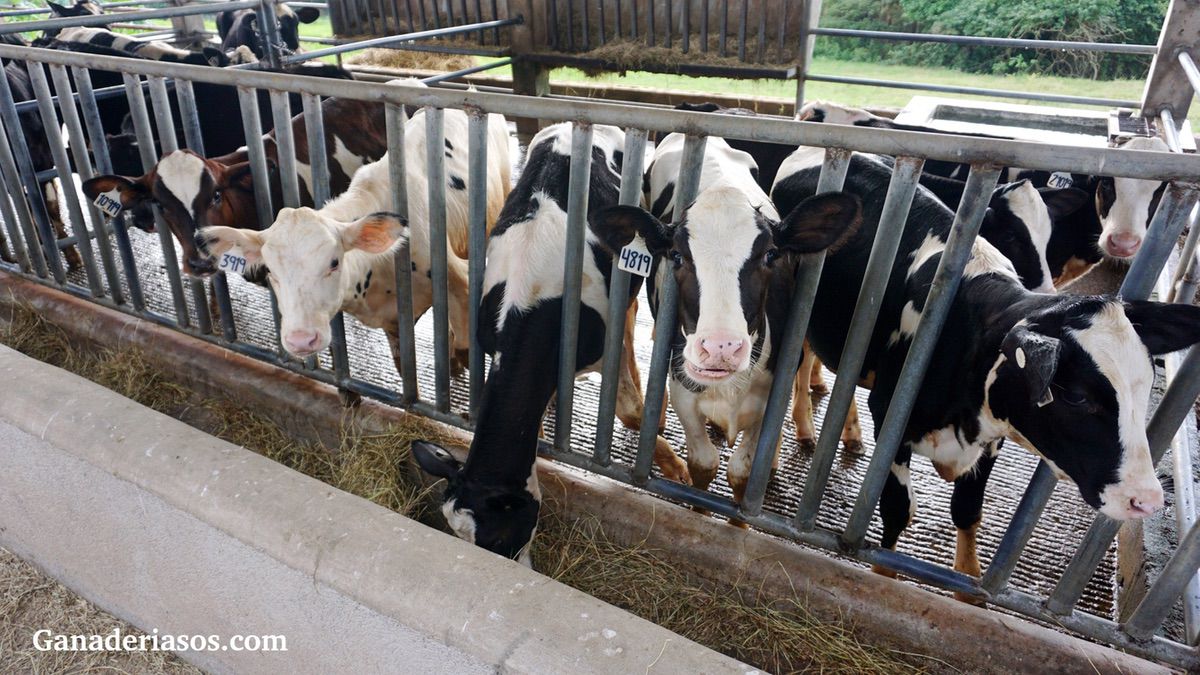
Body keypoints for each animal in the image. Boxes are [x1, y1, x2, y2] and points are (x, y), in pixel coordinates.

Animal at [412, 121, 696, 562]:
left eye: (498, 541)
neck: (531, 303)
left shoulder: (602, 348)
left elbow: (632, 411)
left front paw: (675, 468)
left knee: (630, 316)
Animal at [772, 147, 1195, 593]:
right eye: (1077, 396)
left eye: (1146, 386)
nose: (1147, 499)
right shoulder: (889, 416)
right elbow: (897, 510)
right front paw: (884, 575)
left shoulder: (992, 437)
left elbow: (967, 510)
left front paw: (970, 584)